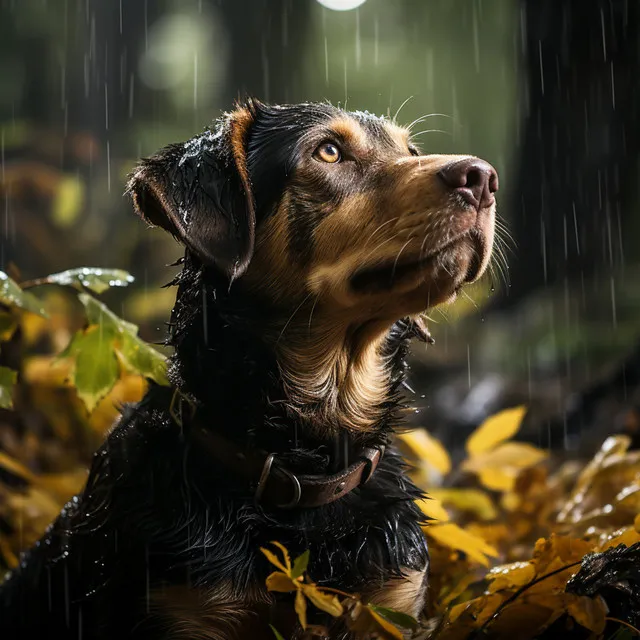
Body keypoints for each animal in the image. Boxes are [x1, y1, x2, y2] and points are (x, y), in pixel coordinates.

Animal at [0, 100, 498, 640]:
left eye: (410, 151)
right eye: (329, 151)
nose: (482, 177)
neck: (308, 467)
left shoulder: (391, 606)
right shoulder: (185, 611)